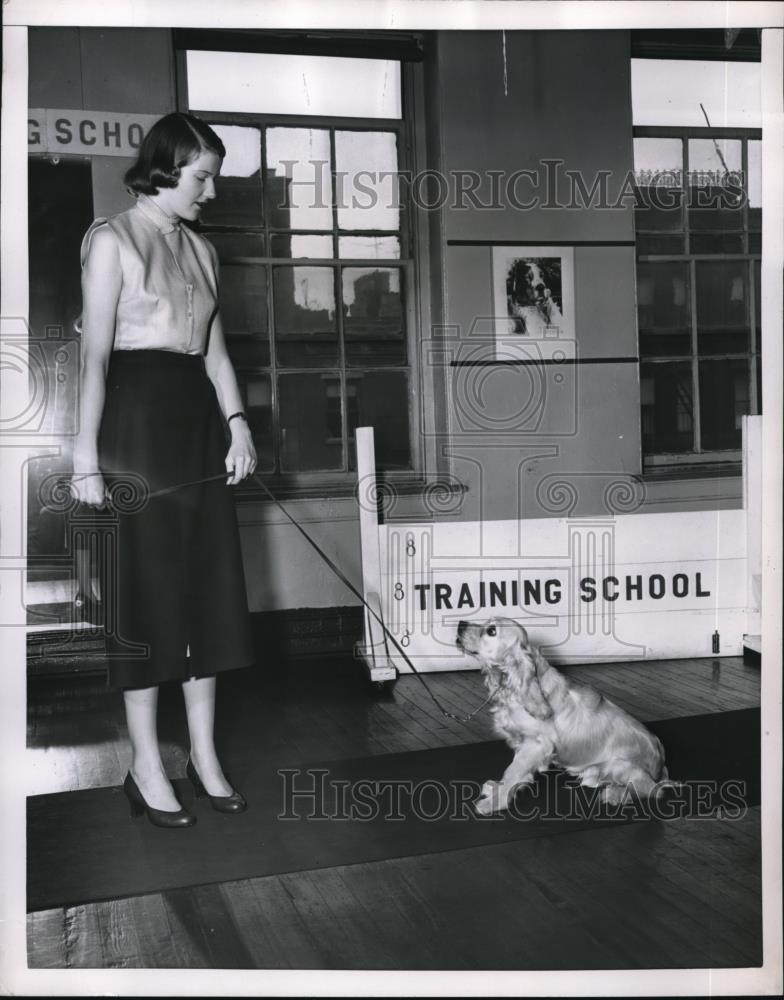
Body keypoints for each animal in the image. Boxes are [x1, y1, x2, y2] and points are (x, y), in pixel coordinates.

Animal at [460, 616, 672, 812]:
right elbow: (514, 772)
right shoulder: (523, 743)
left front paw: (493, 803)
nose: (461, 624)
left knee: (652, 790)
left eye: (491, 631)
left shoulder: (536, 745)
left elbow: (512, 772)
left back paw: (616, 794)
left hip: (620, 765)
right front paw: (496, 789)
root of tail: (660, 765)